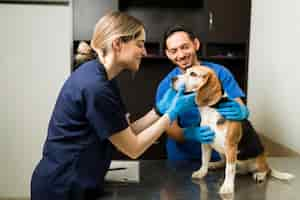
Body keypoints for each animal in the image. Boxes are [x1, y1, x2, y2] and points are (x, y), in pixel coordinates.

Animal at [172, 65, 294, 197]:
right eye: (185, 71)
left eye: (193, 74)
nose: (172, 79)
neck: (210, 110)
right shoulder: (205, 142)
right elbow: (204, 160)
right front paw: (202, 172)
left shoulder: (231, 147)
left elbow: (229, 169)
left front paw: (227, 187)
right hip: (222, 152)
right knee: (225, 163)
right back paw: (214, 165)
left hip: (257, 159)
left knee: (264, 170)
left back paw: (260, 174)